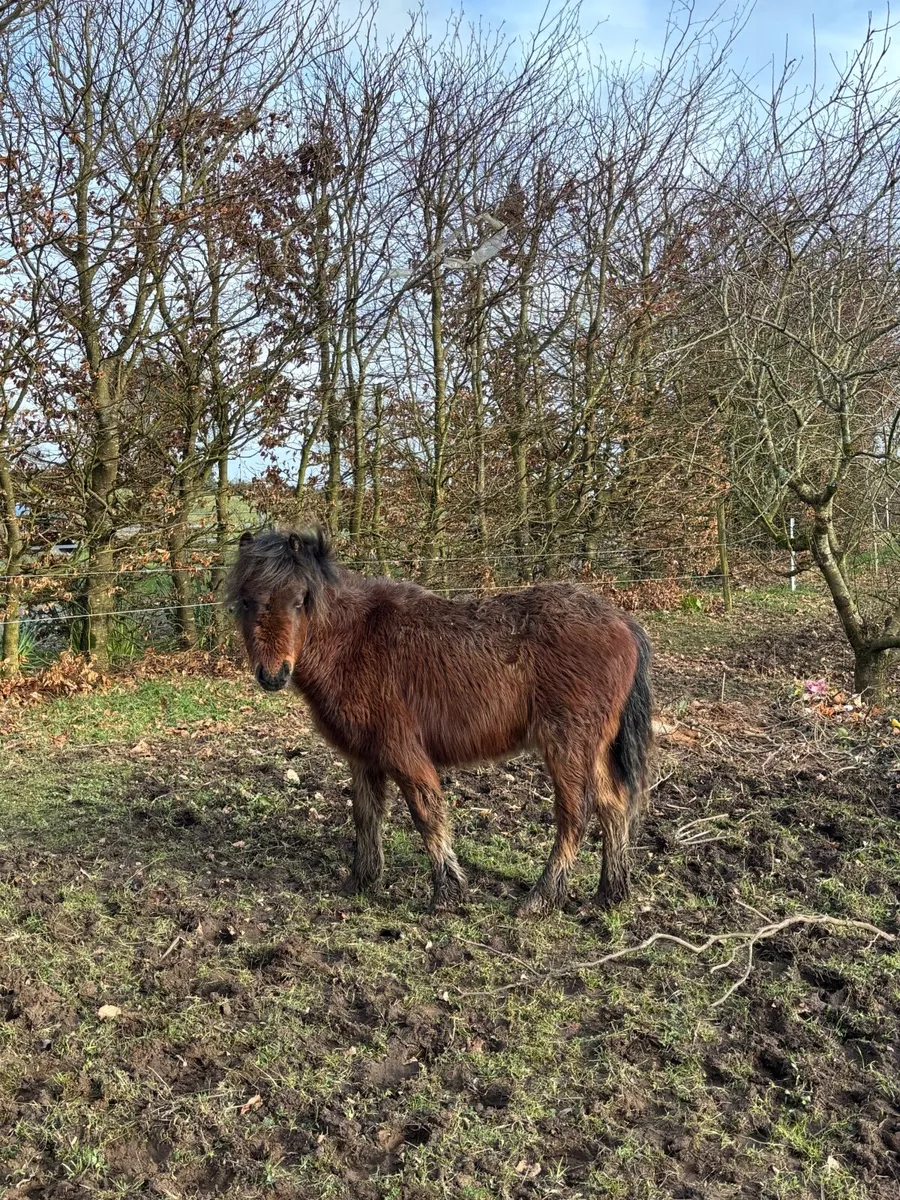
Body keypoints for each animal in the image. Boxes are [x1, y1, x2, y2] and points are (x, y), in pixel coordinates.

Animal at [226, 528, 653, 916]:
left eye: (300, 600)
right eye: (245, 600)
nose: (273, 675)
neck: (354, 641)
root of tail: (624, 623)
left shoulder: (402, 751)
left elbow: (426, 814)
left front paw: (447, 893)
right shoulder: (364, 756)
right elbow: (366, 815)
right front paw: (361, 881)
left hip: (567, 745)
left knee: (575, 815)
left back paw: (541, 899)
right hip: (593, 748)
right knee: (614, 806)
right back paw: (610, 894)